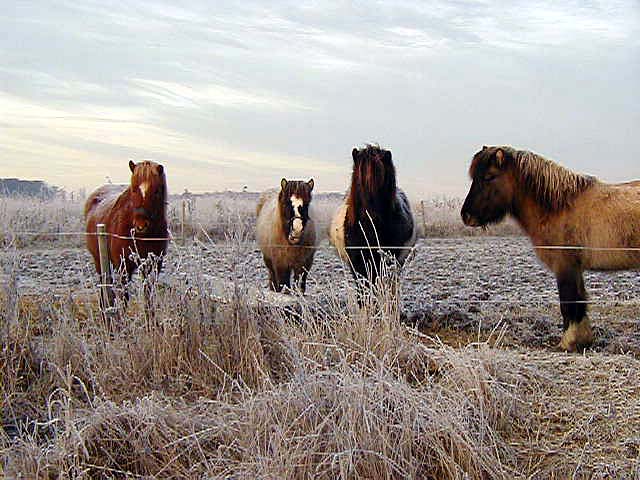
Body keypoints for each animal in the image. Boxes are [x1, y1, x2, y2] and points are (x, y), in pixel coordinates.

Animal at [85, 160, 168, 310]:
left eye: (156, 191)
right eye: (134, 189)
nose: (141, 225)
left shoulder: (152, 266)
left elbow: (149, 299)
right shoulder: (123, 268)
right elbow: (124, 299)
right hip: (98, 260)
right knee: (104, 284)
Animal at [461, 145, 640, 351]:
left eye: (489, 177)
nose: (466, 216)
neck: (559, 206)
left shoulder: (565, 267)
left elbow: (569, 303)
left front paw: (568, 342)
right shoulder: (574, 268)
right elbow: (579, 302)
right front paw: (583, 340)